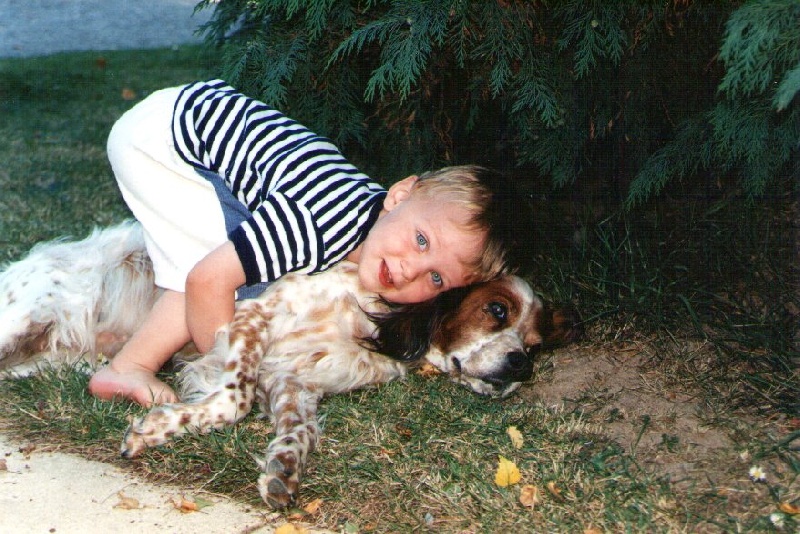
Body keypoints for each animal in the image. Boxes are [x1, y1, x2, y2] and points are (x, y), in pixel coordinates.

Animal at [0, 221, 579, 508]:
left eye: (535, 345)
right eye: (496, 310)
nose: (520, 366)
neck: (369, 325)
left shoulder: (294, 385)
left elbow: (298, 433)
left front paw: (282, 469)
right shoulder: (253, 318)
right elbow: (232, 400)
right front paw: (156, 428)